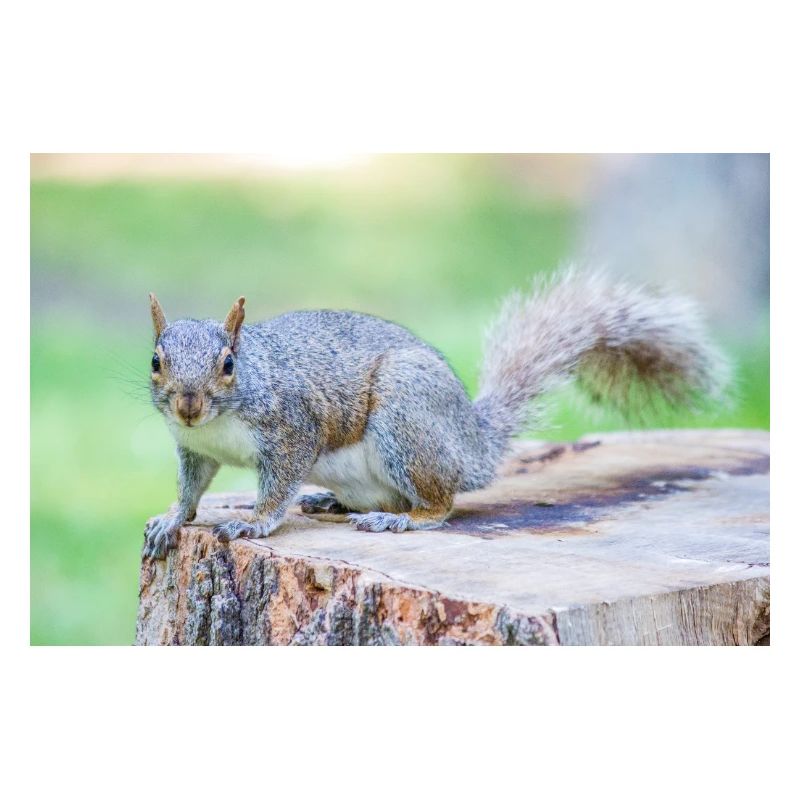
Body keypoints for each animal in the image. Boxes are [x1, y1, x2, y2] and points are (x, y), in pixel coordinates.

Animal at [143, 269, 729, 559]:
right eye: (155, 361)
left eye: (228, 364)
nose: (188, 405)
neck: (219, 423)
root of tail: (473, 444)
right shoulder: (193, 449)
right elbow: (191, 489)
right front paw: (172, 520)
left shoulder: (293, 431)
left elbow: (277, 485)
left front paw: (254, 522)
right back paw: (331, 501)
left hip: (407, 419)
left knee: (441, 504)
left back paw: (401, 518)